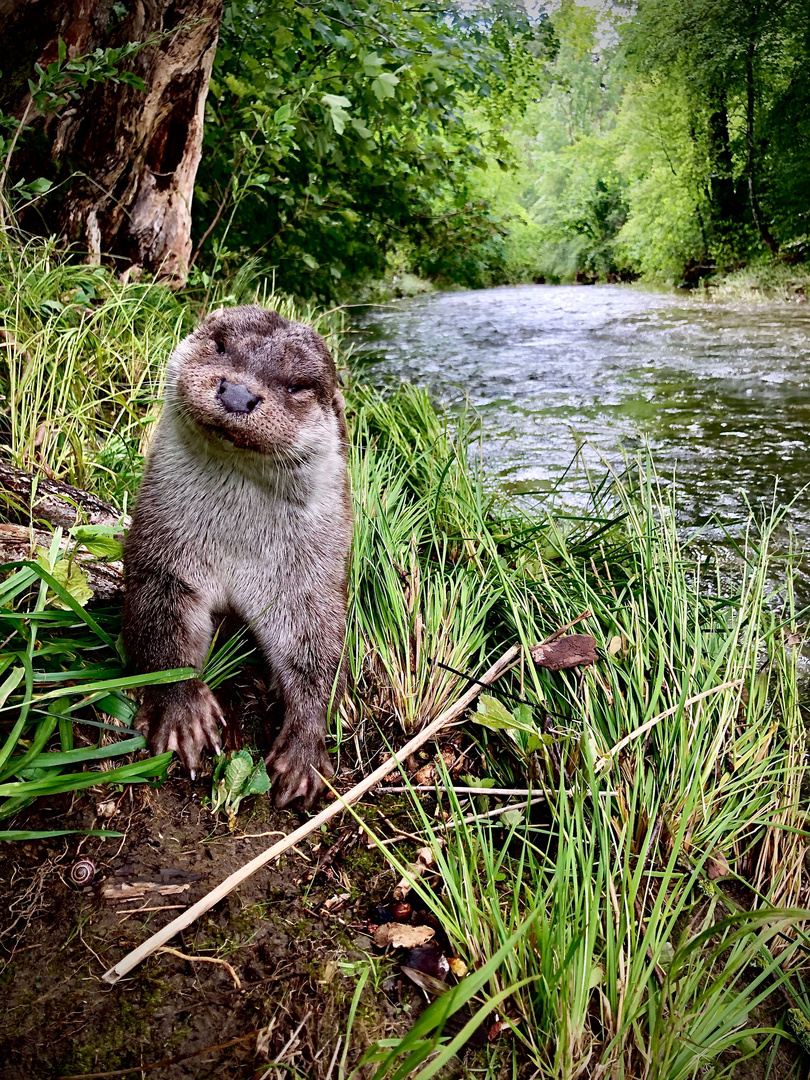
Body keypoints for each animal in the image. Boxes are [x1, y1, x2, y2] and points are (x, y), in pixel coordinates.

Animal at [122, 306, 349, 812]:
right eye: (221, 346)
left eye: (297, 385)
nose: (239, 392)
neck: (236, 546)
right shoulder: (163, 553)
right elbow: (159, 621)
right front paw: (182, 710)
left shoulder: (309, 580)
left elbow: (318, 651)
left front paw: (303, 751)